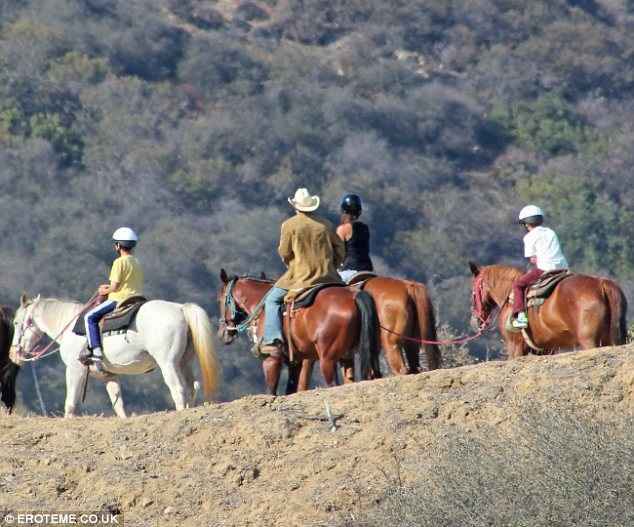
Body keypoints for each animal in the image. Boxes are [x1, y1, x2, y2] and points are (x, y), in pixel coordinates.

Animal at [6, 294, 220, 418]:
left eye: (16, 322)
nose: (13, 354)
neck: (70, 326)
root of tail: (181, 309)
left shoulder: (75, 370)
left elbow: (70, 403)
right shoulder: (109, 375)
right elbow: (118, 405)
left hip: (168, 364)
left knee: (178, 390)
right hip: (184, 362)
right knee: (192, 387)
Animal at [216, 270, 380, 394]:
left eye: (220, 300)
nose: (222, 333)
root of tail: (353, 295)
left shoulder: (272, 358)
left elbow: (271, 390)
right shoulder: (295, 362)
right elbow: (290, 389)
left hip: (328, 359)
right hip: (351, 356)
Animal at [466, 260, 624, 358]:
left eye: (473, 292)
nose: (475, 322)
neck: (509, 296)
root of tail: (602, 283)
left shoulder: (515, 346)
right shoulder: (546, 349)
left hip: (589, 340)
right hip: (607, 339)